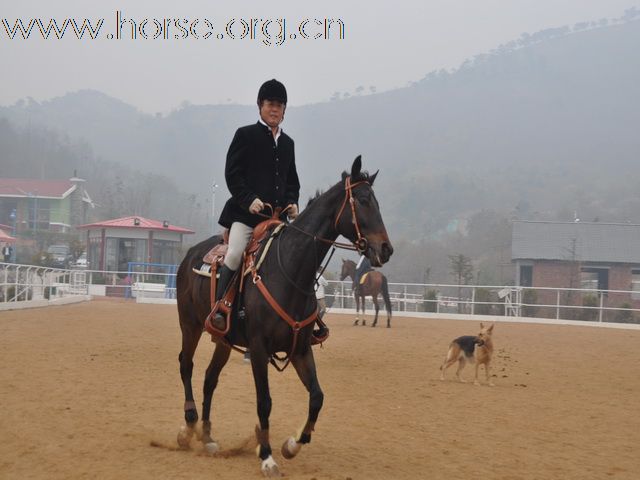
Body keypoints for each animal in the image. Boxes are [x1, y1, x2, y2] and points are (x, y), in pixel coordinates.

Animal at [178, 158, 392, 476]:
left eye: (376, 201)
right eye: (363, 200)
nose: (386, 249)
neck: (290, 270)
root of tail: (190, 254)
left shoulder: (301, 350)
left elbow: (317, 397)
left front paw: (292, 445)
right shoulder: (258, 349)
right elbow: (264, 402)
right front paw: (266, 456)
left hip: (223, 341)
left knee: (209, 379)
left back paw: (207, 437)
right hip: (190, 326)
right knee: (187, 366)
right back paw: (189, 426)